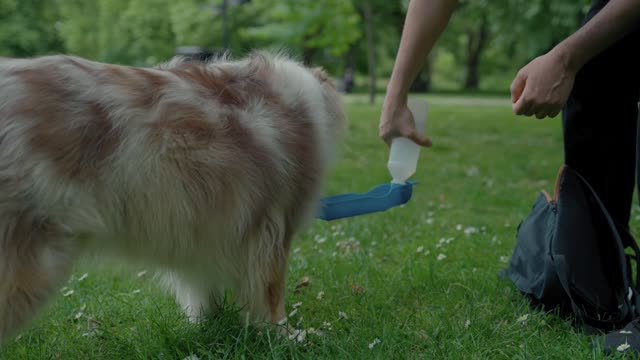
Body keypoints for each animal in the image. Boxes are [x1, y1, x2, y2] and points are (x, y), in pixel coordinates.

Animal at [0, 50, 344, 344]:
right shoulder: (272, 228)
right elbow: (270, 293)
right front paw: (284, 335)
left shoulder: (202, 234)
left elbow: (202, 291)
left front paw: (208, 324)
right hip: (31, 264)